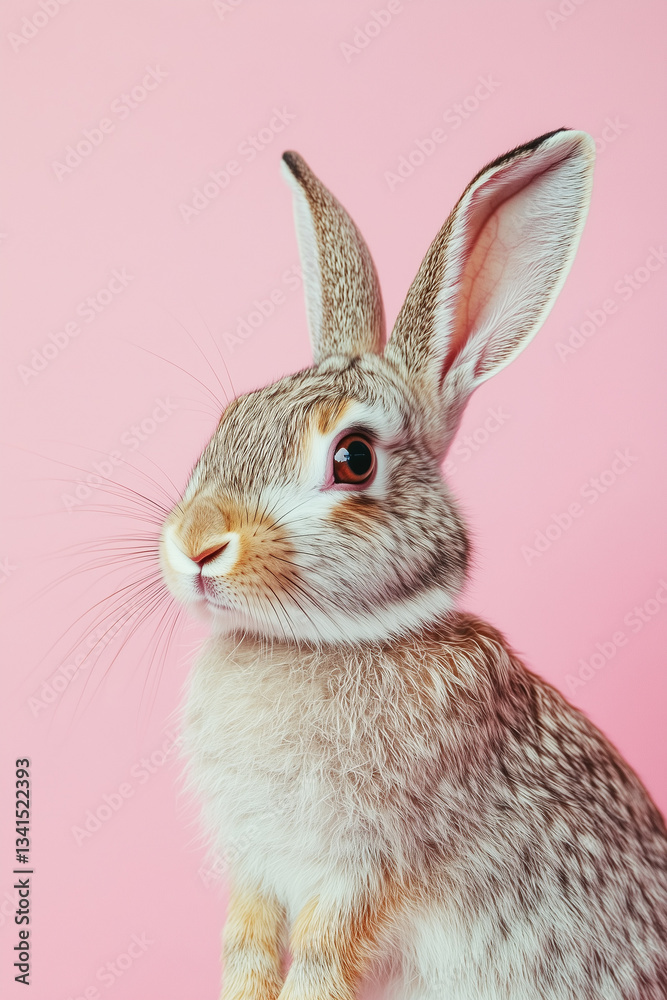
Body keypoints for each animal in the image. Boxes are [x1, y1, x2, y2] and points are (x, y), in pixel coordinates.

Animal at [159, 129, 667, 1000]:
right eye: (230, 419)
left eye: (354, 458)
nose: (197, 542)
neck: (323, 641)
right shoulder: (255, 872)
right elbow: (247, 947)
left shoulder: (364, 868)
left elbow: (321, 956)